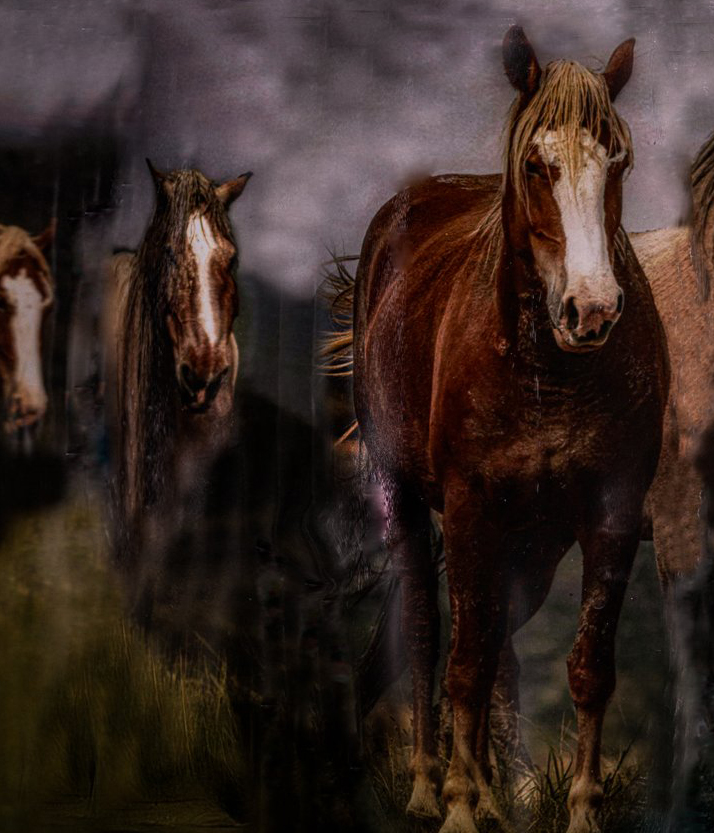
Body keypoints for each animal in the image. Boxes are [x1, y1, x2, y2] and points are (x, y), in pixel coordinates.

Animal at [339, 27, 668, 833]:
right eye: (535, 166)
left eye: (620, 160)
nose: (592, 309)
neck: (549, 372)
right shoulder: (467, 507)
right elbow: (462, 662)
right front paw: (457, 807)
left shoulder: (611, 513)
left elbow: (586, 668)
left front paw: (579, 811)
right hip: (410, 501)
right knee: (431, 631)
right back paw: (431, 785)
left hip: (533, 544)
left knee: (500, 649)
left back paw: (490, 792)